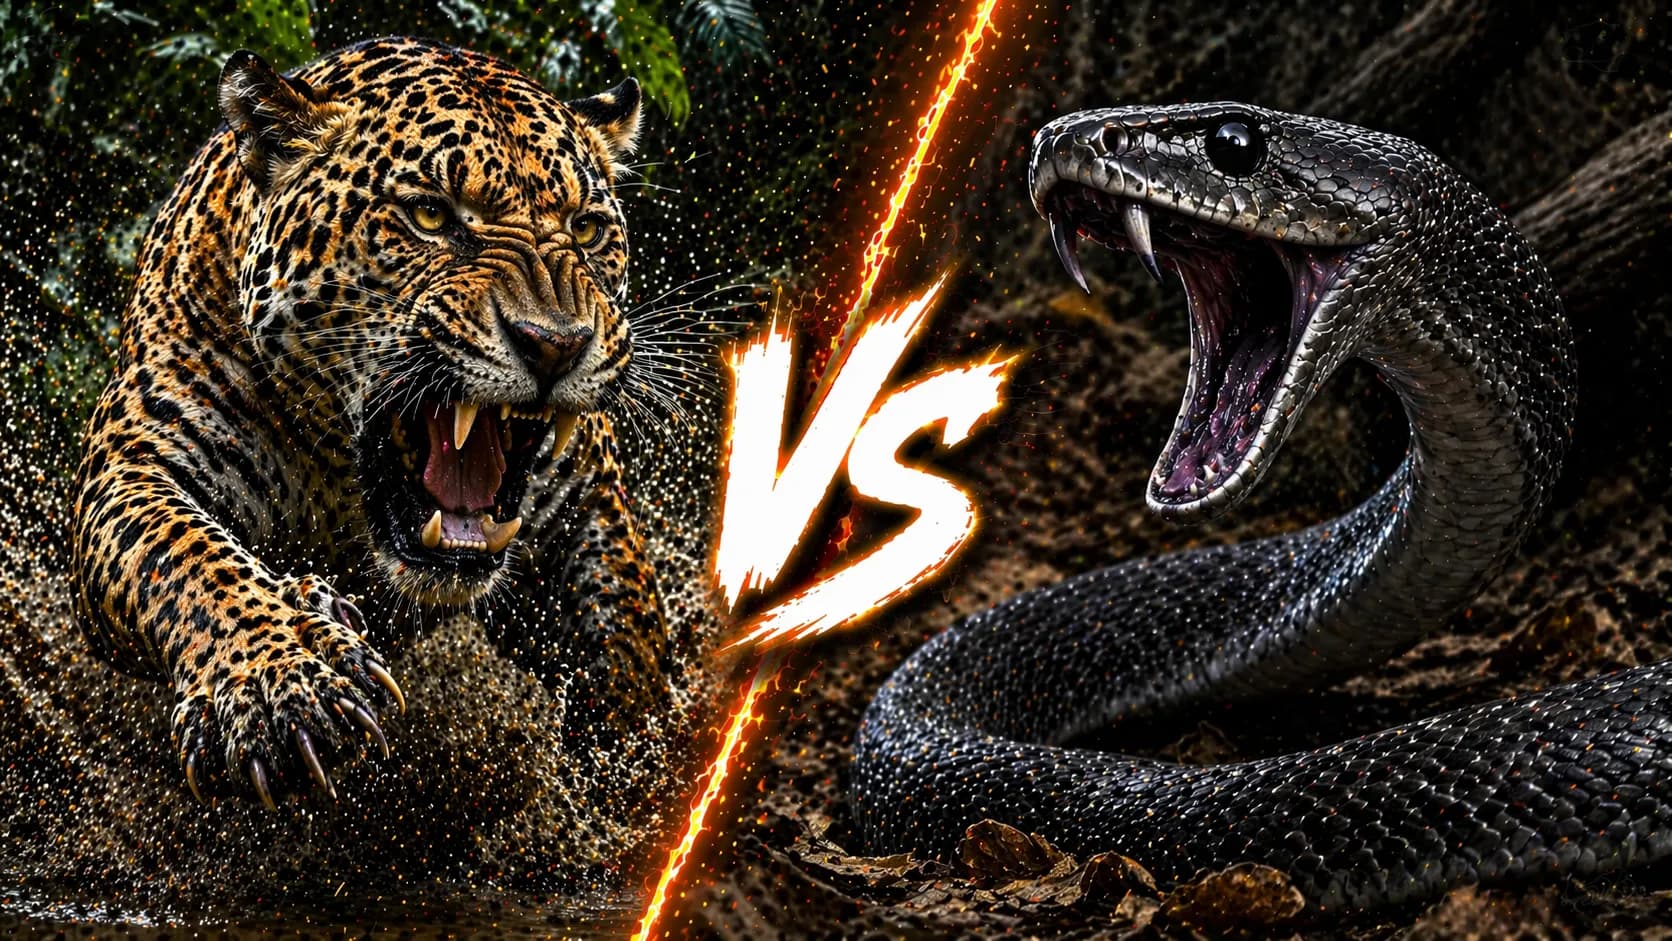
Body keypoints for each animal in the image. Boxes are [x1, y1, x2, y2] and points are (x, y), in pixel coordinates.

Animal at [70, 36, 679, 810]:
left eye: (587, 228)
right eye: (430, 216)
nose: (555, 343)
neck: (338, 478)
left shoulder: (586, 503)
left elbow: (627, 643)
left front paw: (633, 778)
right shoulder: (132, 462)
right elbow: (186, 558)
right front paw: (281, 683)